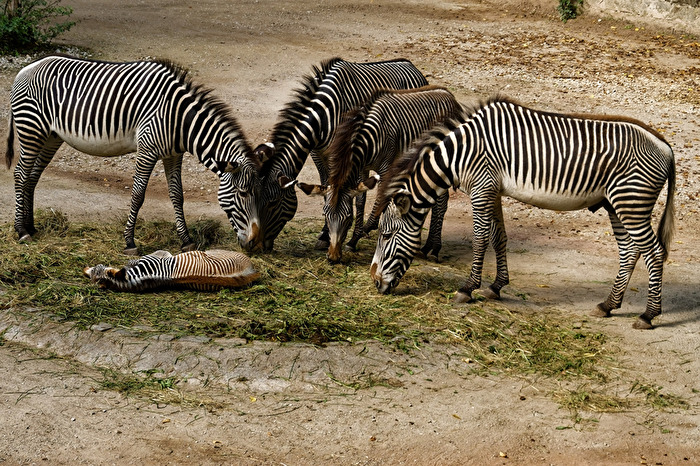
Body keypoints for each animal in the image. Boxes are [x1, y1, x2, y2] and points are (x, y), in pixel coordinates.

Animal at [6, 54, 258, 255]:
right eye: (243, 193)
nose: (253, 244)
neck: (179, 119)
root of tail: (25, 69)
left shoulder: (173, 154)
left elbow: (177, 195)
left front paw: (186, 240)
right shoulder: (147, 150)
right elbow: (137, 195)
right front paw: (129, 242)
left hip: (50, 137)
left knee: (32, 178)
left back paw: (32, 227)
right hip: (31, 129)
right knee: (20, 175)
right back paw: (21, 230)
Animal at [235, 57, 429, 252]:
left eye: (273, 202)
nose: (257, 246)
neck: (322, 116)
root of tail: (412, 66)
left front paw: (332, 233)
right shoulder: (317, 153)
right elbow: (326, 186)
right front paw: (326, 234)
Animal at [297, 85, 463, 263]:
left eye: (348, 219)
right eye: (325, 215)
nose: (333, 258)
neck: (368, 138)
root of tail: (450, 95)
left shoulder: (386, 167)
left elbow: (381, 199)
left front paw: (368, 232)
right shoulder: (362, 168)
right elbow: (361, 199)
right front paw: (354, 239)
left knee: (441, 202)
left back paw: (433, 248)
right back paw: (427, 247)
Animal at [370, 96, 675, 329]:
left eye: (385, 235)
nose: (375, 284)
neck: (458, 154)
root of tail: (665, 145)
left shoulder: (481, 189)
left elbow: (480, 240)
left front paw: (467, 289)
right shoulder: (493, 190)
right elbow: (498, 238)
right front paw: (496, 286)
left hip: (631, 201)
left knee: (653, 252)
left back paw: (648, 315)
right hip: (617, 203)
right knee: (630, 251)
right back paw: (608, 305)